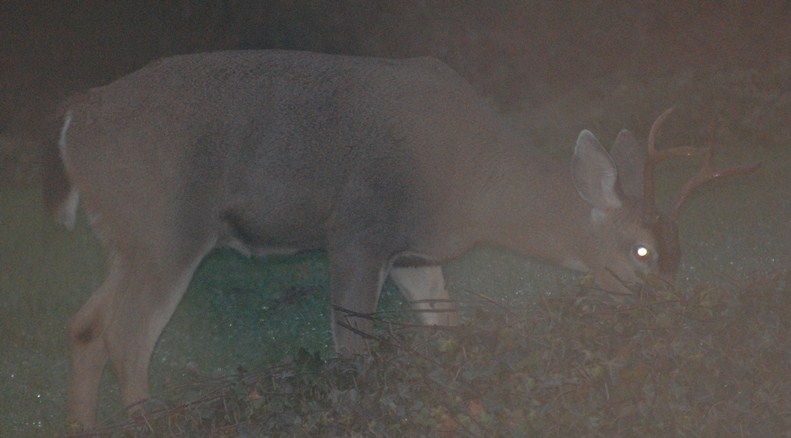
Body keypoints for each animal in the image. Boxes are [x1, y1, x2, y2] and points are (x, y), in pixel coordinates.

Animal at [43, 48, 760, 428]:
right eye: (641, 251)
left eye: (678, 255)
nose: (678, 317)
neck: (473, 189)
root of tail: (76, 116)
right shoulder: (358, 229)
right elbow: (353, 351)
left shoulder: (415, 252)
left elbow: (445, 330)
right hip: (167, 226)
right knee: (127, 334)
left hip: (127, 237)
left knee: (84, 325)